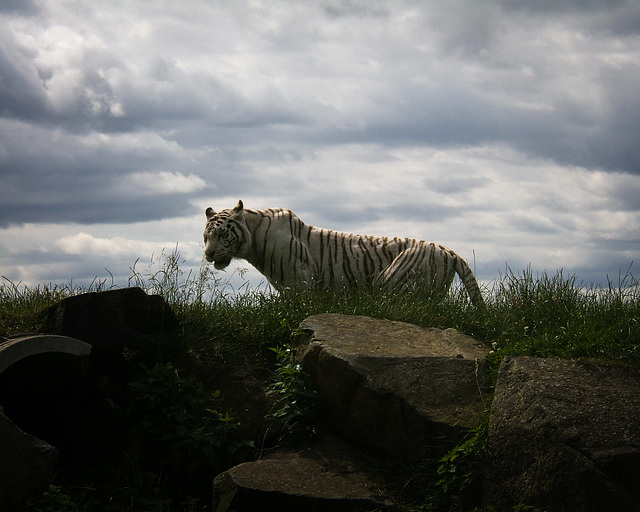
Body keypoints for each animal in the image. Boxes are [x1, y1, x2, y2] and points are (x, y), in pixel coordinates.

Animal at [202, 199, 482, 304]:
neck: (254, 240)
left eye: (223, 235)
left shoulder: (299, 282)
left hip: (395, 283)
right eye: (206, 237)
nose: (208, 254)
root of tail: (450, 251)